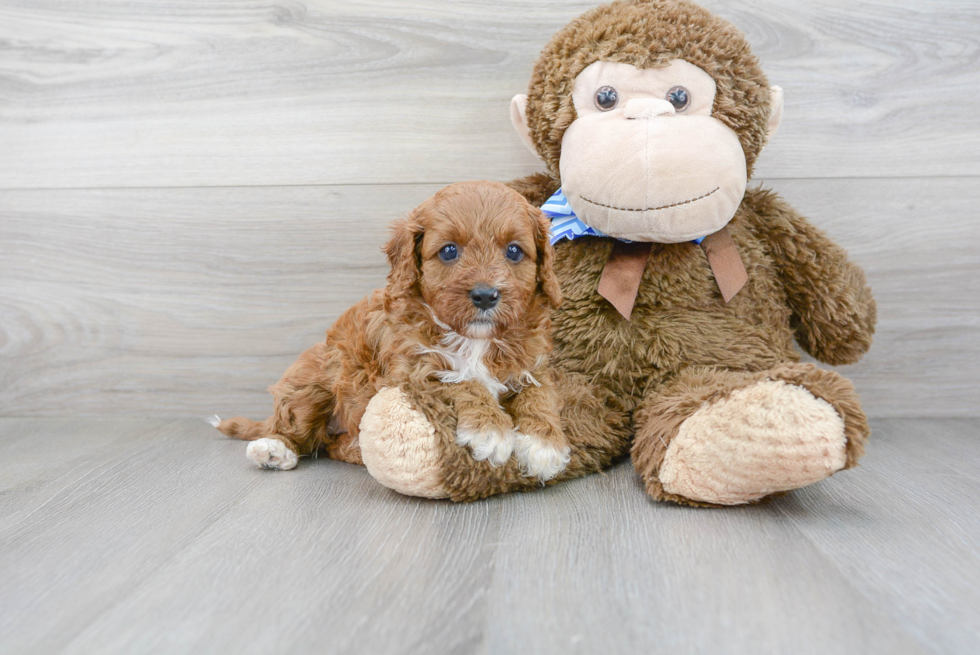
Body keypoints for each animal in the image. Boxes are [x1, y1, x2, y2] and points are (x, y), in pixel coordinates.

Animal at [211, 179, 572, 482]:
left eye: (514, 251)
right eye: (449, 251)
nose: (485, 295)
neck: (474, 339)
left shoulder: (534, 365)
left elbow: (540, 395)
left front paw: (544, 444)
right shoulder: (409, 372)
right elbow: (462, 380)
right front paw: (490, 429)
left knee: (332, 446)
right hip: (313, 377)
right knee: (294, 426)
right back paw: (273, 448)